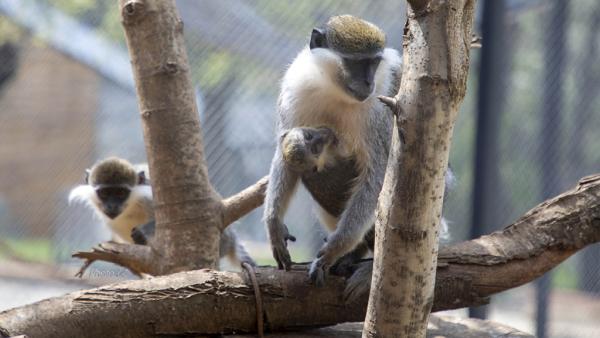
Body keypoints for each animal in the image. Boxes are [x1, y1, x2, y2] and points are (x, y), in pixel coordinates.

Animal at [68, 156, 255, 270]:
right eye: (105, 193)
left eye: (120, 193)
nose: (112, 206)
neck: (130, 207)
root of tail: (231, 238)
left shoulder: (150, 197)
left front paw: (142, 232)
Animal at [264, 15, 400, 286]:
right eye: (357, 63)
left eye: (373, 63)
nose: (368, 82)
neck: (335, 90)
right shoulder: (294, 88)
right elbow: (284, 150)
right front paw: (274, 223)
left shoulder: (377, 113)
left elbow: (378, 175)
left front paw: (337, 246)